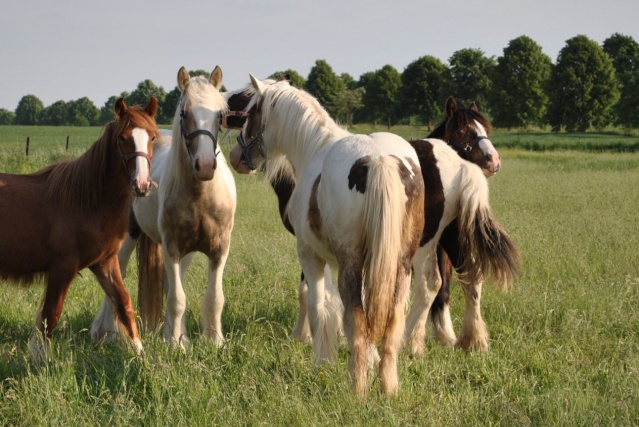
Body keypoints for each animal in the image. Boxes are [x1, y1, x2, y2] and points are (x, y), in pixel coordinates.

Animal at [0, 98, 159, 362]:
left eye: (153, 137)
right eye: (122, 138)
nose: (142, 185)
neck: (86, 201)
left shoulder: (105, 262)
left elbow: (124, 304)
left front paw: (140, 353)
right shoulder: (62, 267)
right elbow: (51, 314)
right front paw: (41, 360)